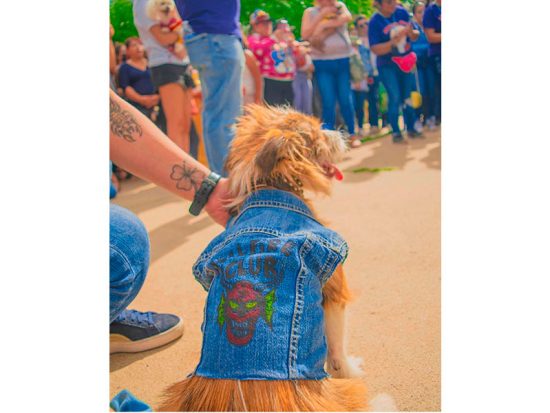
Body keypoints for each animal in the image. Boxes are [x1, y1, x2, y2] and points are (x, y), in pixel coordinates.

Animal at [159, 105, 395, 412]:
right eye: (316, 135)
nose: (342, 132)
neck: (271, 185)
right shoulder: (335, 290)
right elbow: (338, 348)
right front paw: (351, 369)